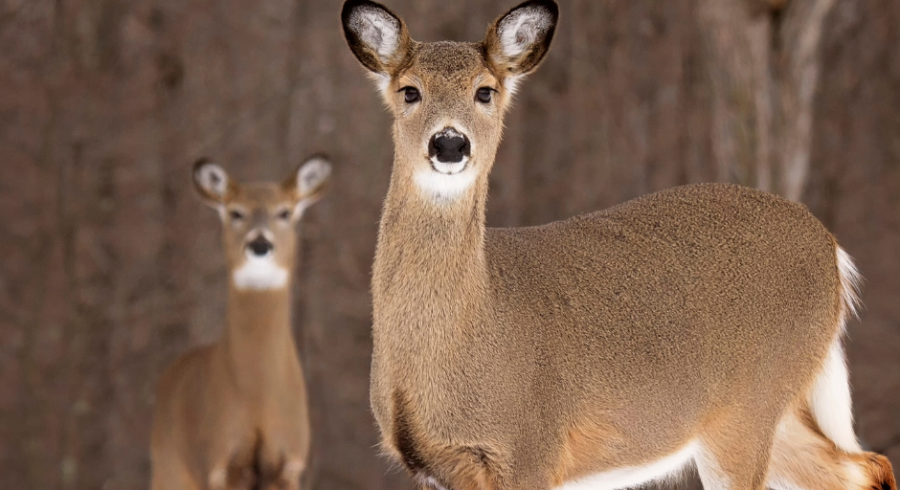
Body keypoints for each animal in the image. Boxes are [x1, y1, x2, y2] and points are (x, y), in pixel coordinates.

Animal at [150, 155, 331, 490]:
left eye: (284, 212)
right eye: (236, 213)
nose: (259, 244)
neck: (258, 398)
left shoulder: (291, 462)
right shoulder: (219, 462)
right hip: (169, 466)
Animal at [340, 1, 897, 489]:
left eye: (485, 92)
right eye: (409, 91)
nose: (450, 143)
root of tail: (834, 253)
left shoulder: (532, 446)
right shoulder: (433, 468)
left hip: (750, 405)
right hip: (773, 410)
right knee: (867, 467)